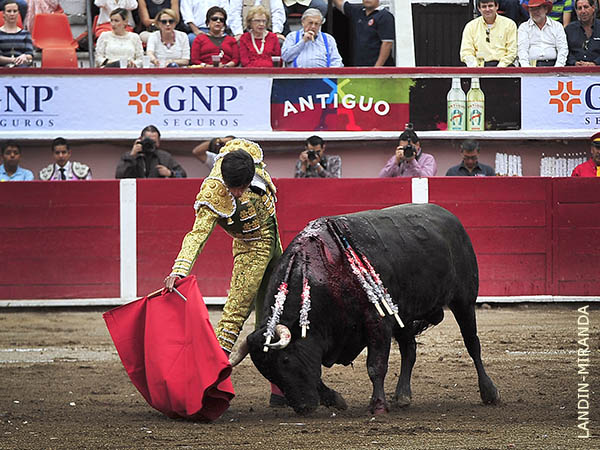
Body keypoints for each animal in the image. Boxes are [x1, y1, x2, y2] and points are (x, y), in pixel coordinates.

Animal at [230, 203, 500, 415]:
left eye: (285, 360)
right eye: (267, 372)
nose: (303, 408)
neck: (327, 272)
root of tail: (451, 218)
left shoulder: (377, 322)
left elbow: (375, 365)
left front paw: (378, 405)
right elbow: (316, 374)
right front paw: (335, 399)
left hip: (464, 301)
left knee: (472, 344)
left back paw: (489, 392)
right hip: (402, 313)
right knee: (409, 349)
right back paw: (402, 396)